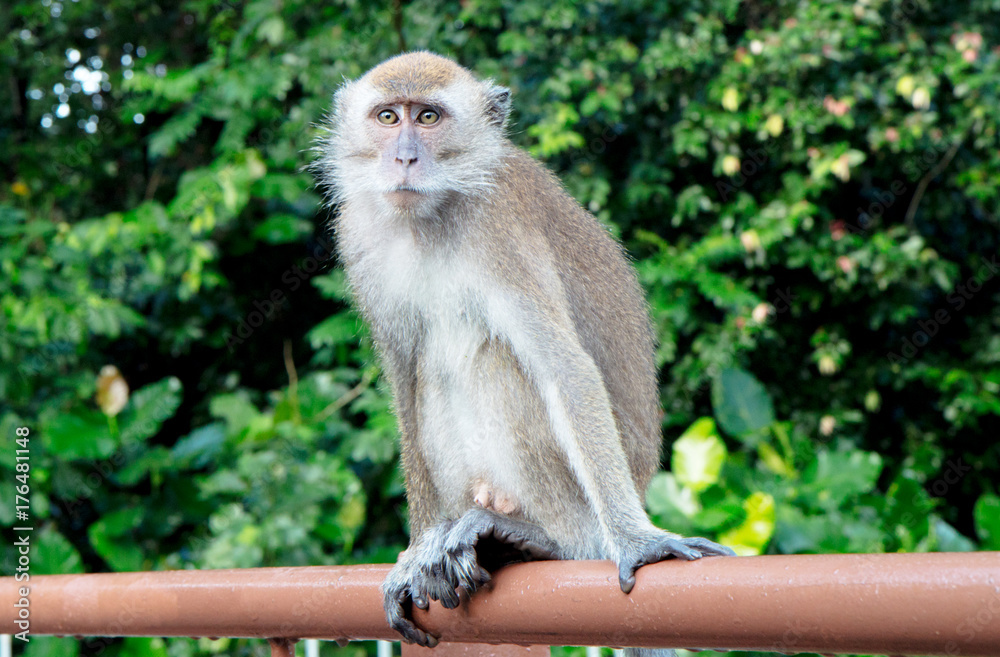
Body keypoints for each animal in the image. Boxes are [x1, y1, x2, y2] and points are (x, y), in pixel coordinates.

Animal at [315, 51, 734, 652]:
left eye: (429, 118)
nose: (404, 158)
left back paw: (542, 539)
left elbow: (564, 368)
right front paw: (415, 550)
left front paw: (639, 542)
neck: (432, 216)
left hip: (570, 504)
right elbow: (404, 385)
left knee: (496, 359)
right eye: (388, 117)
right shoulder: (358, 236)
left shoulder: (500, 232)